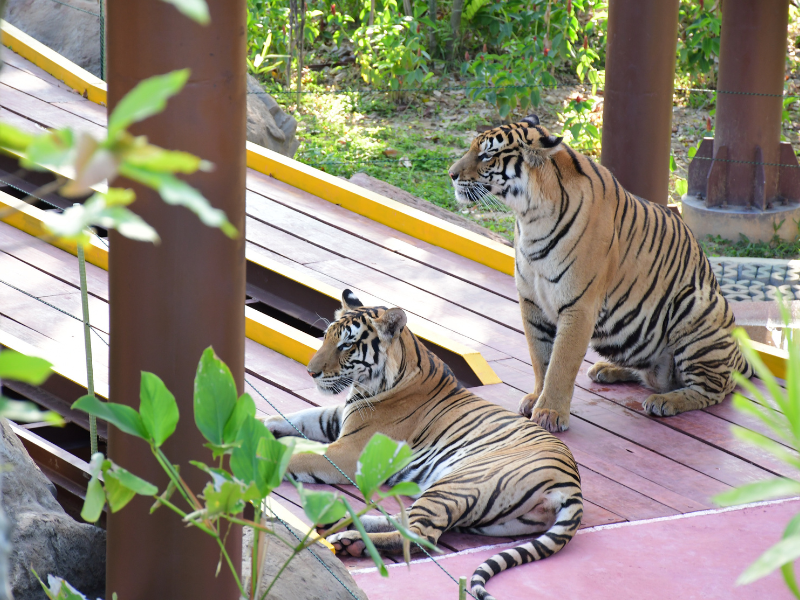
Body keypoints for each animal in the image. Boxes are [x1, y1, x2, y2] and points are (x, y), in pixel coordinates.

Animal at [264, 289, 583, 600]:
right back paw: (340, 525)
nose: (310, 372)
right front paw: (260, 424)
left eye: (347, 345)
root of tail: (571, 484)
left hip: (457, 484)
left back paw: (351, 541)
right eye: (327, 336)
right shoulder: (336, 417)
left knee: (422, 535)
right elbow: (292, 417)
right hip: (491, 519)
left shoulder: (350, 451)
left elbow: (297, 455)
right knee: (403, 520)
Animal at [448, 114, 752, 433]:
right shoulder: (531, 301)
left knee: (713, 389)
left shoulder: (578, 306)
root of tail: (738, 359)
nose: (451, 174)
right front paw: (536, 398)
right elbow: (540, 357)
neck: (529, 217)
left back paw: (665, 401)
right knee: (654, 376)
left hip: (695, 306)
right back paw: (608, 369)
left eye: (487, 155)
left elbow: (560, 363)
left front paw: (549, 413)